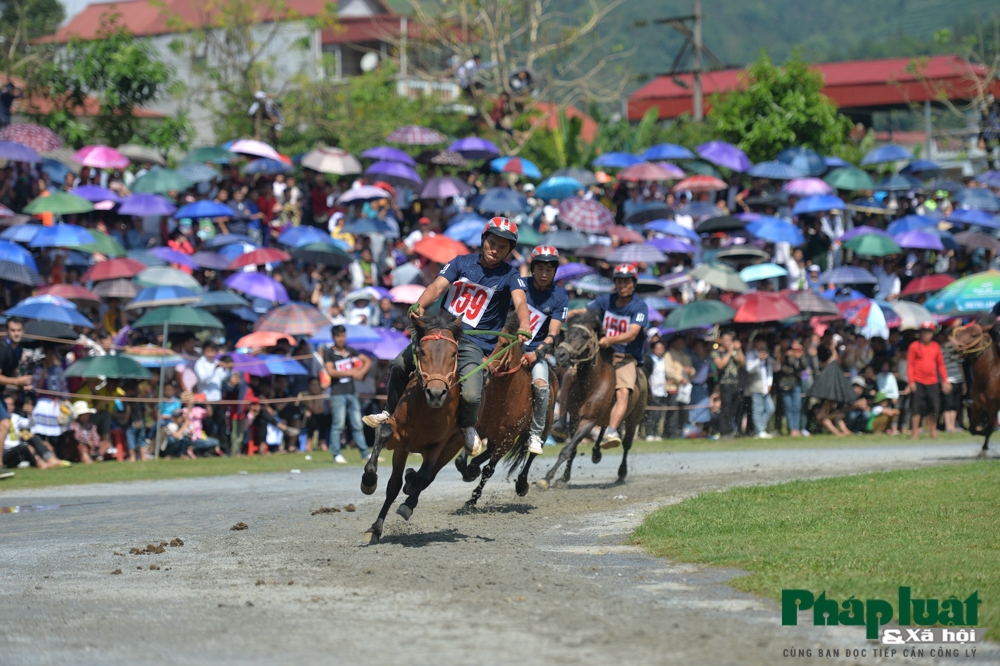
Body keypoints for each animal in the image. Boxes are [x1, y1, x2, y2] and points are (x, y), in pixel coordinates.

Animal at [362, 310, 466, 540]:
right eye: (422, 352)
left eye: (454, 353)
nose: (436, 393)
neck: (427, 411)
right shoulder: (400, 441)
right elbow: (384, 434)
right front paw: (369, 481)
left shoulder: (440, 444)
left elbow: (424, 476)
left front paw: (411, 483)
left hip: (454, 444)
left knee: (429, 476)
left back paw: (409, 498)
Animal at [452, 312, 556, 504]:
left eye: (505, 344)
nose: (483, 371)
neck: (503, 399)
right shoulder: (477, 428)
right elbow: (461, 460)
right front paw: (470, 472)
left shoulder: (508, 439)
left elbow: (489, 470)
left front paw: (472, 500)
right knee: (488, 451)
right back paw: (474, 465)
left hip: (544, 428)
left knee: (531, 455)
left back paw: (521, 485)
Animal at [540, 312, 648, 488]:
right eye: (567, 333)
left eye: (585, 336)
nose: (560, 355)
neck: (591, 383)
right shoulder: (575, 419)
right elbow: (572, 450)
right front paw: (563, 478)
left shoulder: (588, 421)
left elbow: (567, 449)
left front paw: (547, 478)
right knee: (604, 429)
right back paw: (597, 451)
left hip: (633, 418)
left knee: (626, 444)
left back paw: (621, 472)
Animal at [948, 320, 996, 454]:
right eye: (961, 332)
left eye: (974, 335)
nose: (950, 347)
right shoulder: (978, 405)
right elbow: (973, 429)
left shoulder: (994, 406)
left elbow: (990, 427)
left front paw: (984, 448)